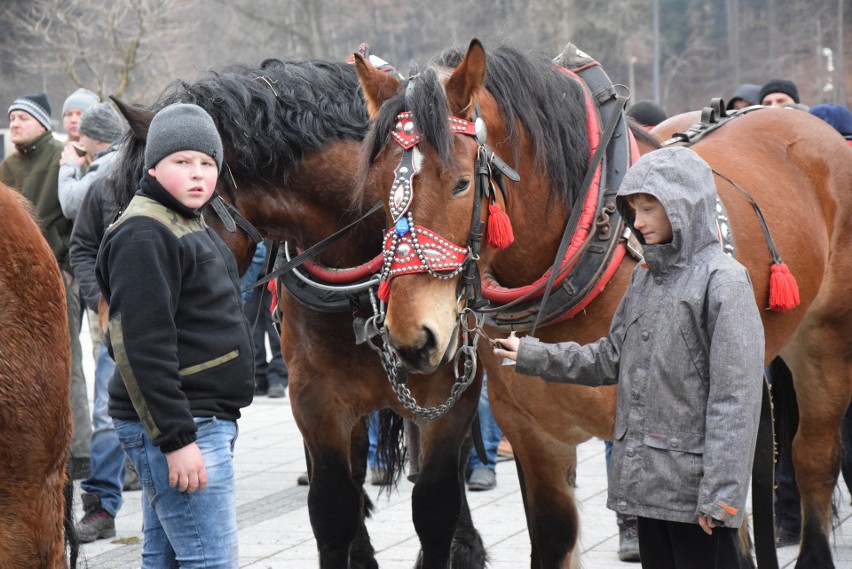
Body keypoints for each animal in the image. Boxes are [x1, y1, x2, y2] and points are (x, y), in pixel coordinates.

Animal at [356, 37, 852, 564]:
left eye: (461, 183)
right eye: (376, 192)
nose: (413, 338)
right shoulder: (533, 435)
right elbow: (555, 534)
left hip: (826, 340)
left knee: (813, 457)